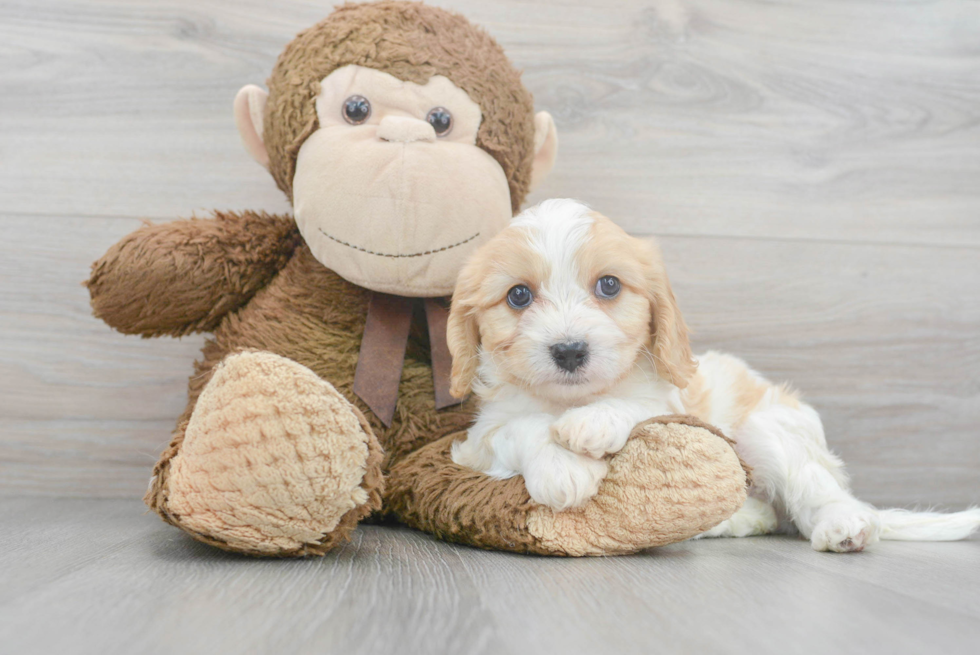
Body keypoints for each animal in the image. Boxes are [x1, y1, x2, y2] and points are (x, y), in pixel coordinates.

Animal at [448, 197, 980, 552]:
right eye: (518, 296)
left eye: (609, 286)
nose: (570, 350)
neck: (569, 398)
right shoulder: (479, 439)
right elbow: (521, 427)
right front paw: (562, 465)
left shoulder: (670, 401)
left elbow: (640, 405)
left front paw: (591, 424)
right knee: (767, 514)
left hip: (768, 429)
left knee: (821, 496)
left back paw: (844, 525)